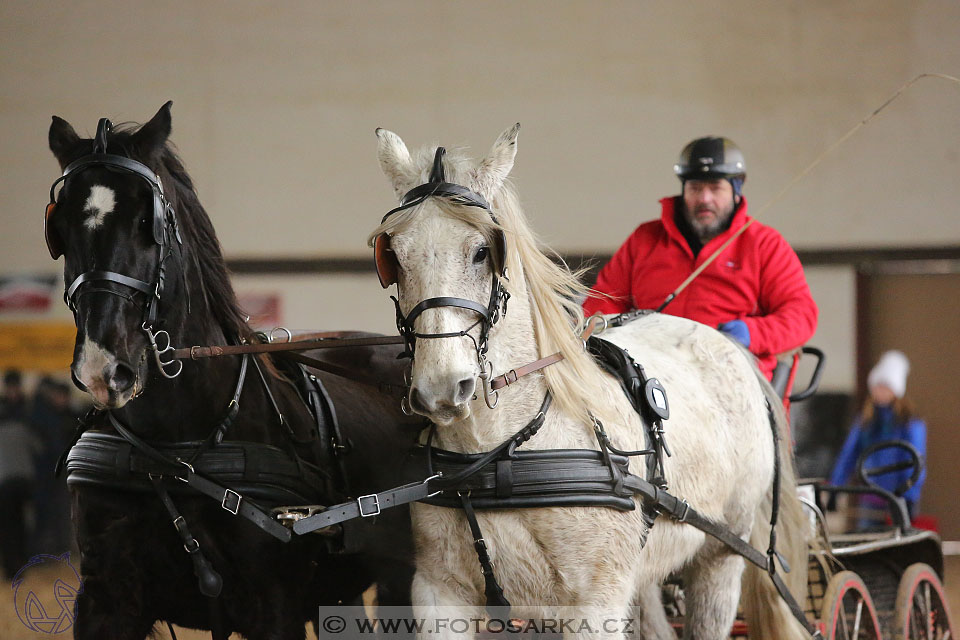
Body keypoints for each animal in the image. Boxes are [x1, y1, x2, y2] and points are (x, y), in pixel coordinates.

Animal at [46, 101, 420, 640]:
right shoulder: (107, 600)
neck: (172, 453)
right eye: (61, 227)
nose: (104, 367)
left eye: (147, 221)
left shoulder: (274, 606)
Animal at [368, 126, 808, 640]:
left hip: (720, 557)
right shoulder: (440, 594)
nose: (442, 386)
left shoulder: (594, 603)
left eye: (481, 251)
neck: (498, 455)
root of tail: (728, 344)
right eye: (394, 257)